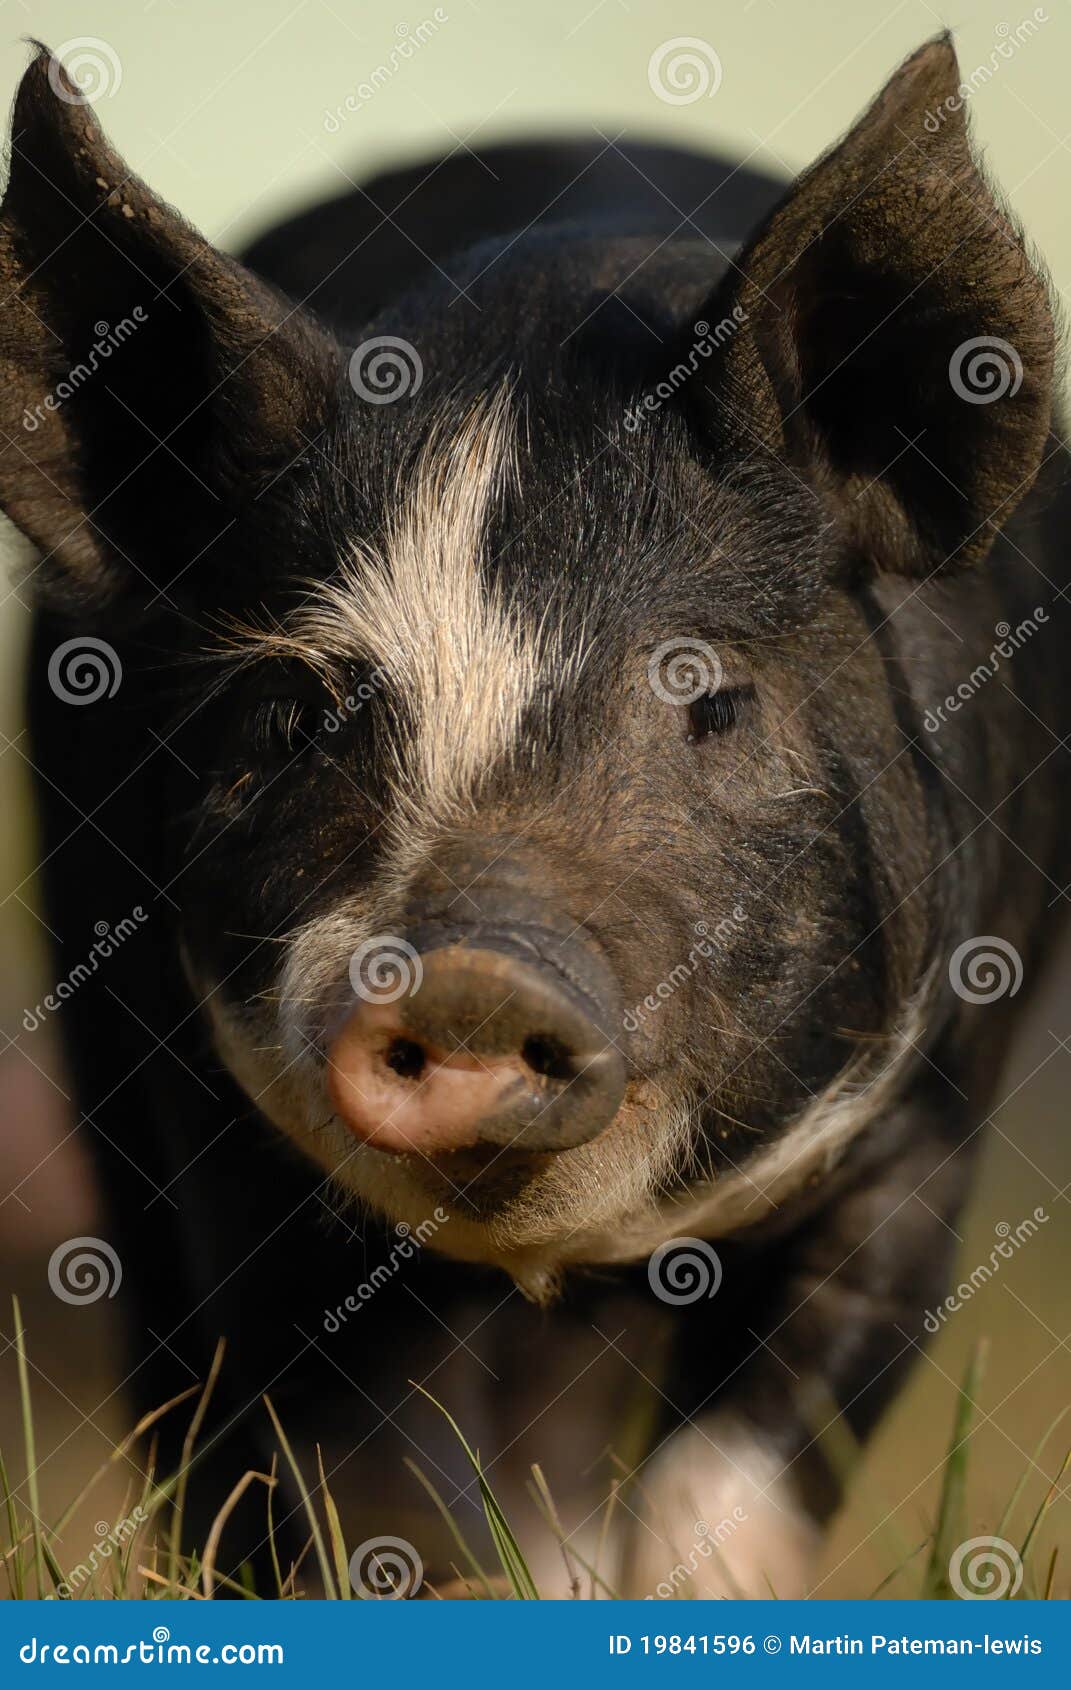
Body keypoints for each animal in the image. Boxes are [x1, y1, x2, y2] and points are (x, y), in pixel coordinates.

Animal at [2, 35, 1067, 1596]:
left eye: (710, 695)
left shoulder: (923, 1130)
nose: (465, 969)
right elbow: (372, 1487)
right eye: (291, 714)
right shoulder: (230, 1137)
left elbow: (740, 1478)